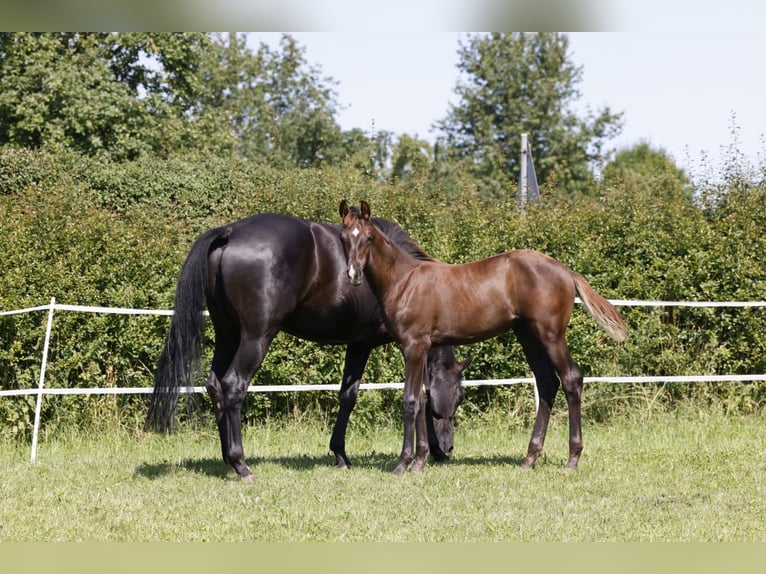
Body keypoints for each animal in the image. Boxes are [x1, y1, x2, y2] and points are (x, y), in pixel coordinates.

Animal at [142, 213, 468, 482]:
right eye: (458, 398)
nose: (449, 448)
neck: (404, 275)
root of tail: (230, 232)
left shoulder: (359, 343)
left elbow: (348, 395)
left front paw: (340, 454)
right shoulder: (366, 344)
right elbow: (363, 397)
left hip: (227, 333)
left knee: (214, 385)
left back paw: (227, 459)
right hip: (255, 336)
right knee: (233, 385)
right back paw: (241, 464)